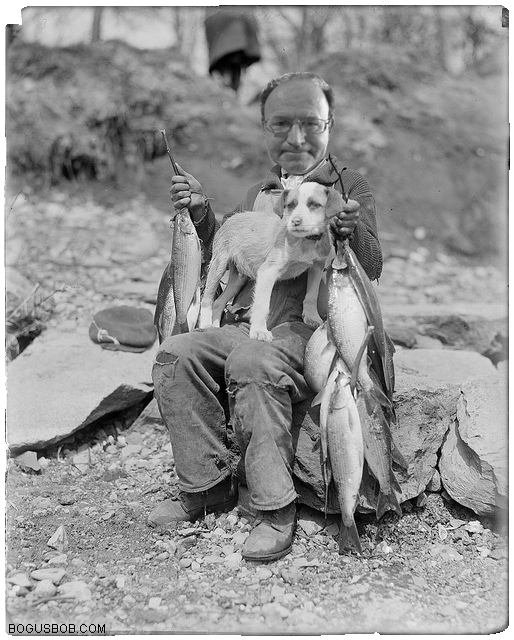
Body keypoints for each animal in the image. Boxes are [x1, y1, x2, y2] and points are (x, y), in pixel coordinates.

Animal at [198, 182, 342, 342]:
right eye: (290, 205)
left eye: (315, 205)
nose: (295, 222)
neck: (305, 241)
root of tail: (231, 218)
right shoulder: (268, 271)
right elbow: (262, 305)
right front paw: (259, 331)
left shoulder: (317, 267)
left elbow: (312, 294)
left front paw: (312, 318)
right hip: (219, 264)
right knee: (208, 299)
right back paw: (206, 325)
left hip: (238, 279)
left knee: (218, 302)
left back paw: (215, 326)